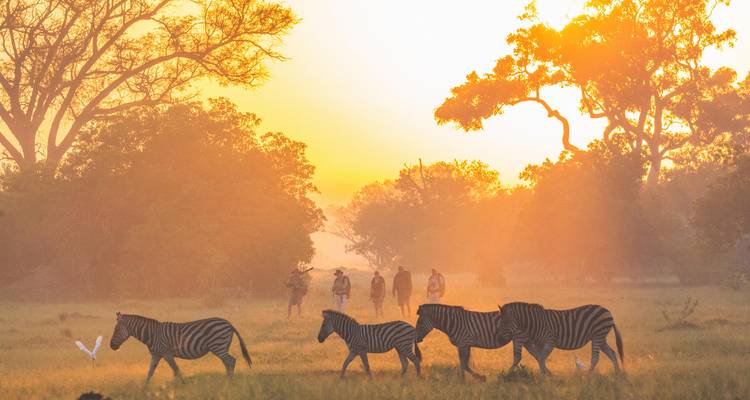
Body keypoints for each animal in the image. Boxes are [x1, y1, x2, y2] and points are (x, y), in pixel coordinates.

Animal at [110, 312, 252, 384]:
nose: (111, 346)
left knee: (231, 361)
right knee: (227, 362)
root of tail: (228, 323)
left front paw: (184, 385)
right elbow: (150, 372)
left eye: (116, 330)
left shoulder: (166, 353)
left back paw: (230, 383)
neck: (151, 334)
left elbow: (176, 370)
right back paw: (226, 382)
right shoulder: (156, 354)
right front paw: (144, 389)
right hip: (222, 346)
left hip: (218, 346)